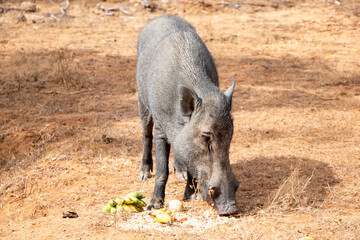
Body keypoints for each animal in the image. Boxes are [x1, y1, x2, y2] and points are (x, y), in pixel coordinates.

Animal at [135, 15, 239, 215]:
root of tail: (160, 17)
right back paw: (143, 175)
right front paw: (153, 206)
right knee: (145, 134)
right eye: (205, 136)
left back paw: (180, 174)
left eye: (231, 136)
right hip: (142, 103)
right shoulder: (160, 128)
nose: (231, 209)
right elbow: (162, 170)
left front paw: (191, 197)